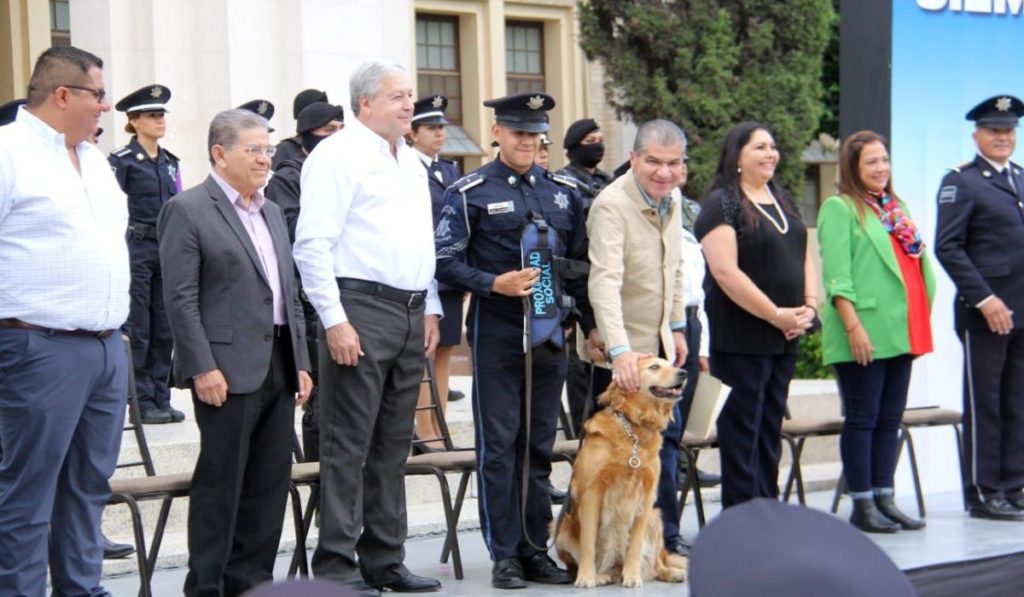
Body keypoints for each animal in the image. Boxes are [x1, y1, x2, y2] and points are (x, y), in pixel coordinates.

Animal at [557, 354, 692, 589]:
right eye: (654, 367)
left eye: (671, 363)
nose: (683, 373)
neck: (633, 426)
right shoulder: (592, 493)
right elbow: (587, 542)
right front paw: (586, 576)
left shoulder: (646, 497)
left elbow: (635, 545)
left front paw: (632, 575)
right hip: (561, 528)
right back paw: (600, 575)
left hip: (655, 518)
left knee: (657, 564)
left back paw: (670, 573)